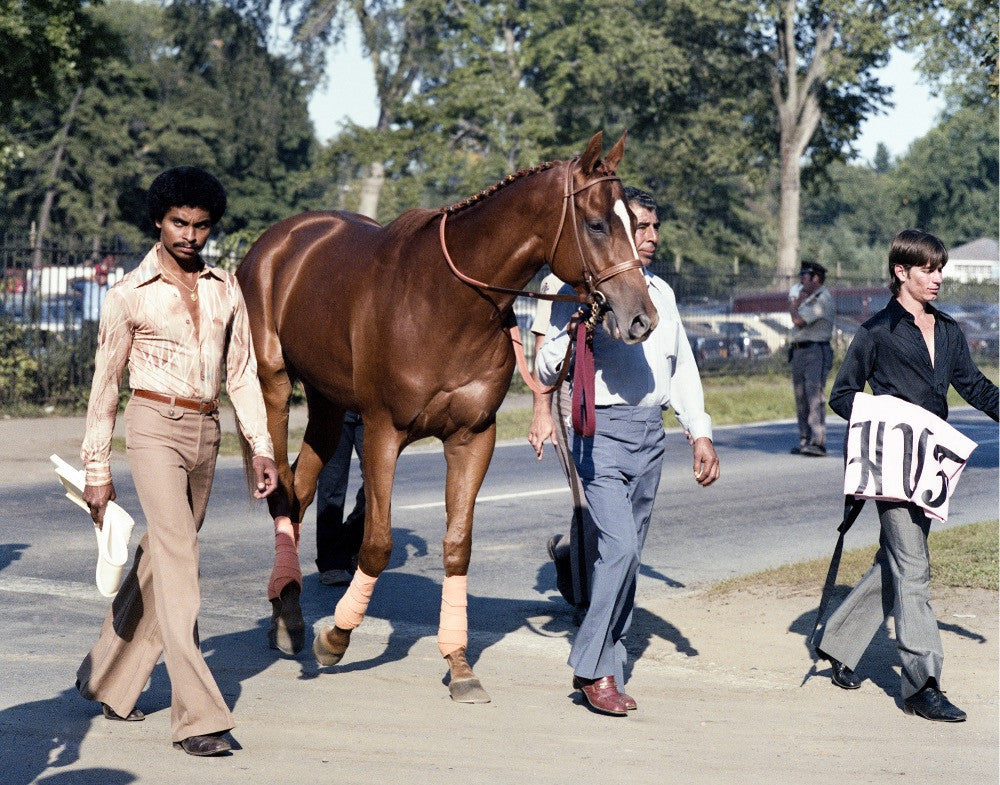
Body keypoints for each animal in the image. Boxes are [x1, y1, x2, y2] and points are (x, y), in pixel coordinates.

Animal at [234, 132, 656, 700]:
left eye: (634, 222)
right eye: (596, 224)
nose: (641, 318)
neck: (448, 302)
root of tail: (279, 242)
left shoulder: (472, 436)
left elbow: (458, 547)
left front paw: (458, 663)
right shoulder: (382, 432)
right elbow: (376, 544)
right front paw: (337, 637)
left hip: (327, 402)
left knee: (298, 495)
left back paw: (289, 613)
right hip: (273, 388)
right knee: (280, 491)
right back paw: (289, 619)